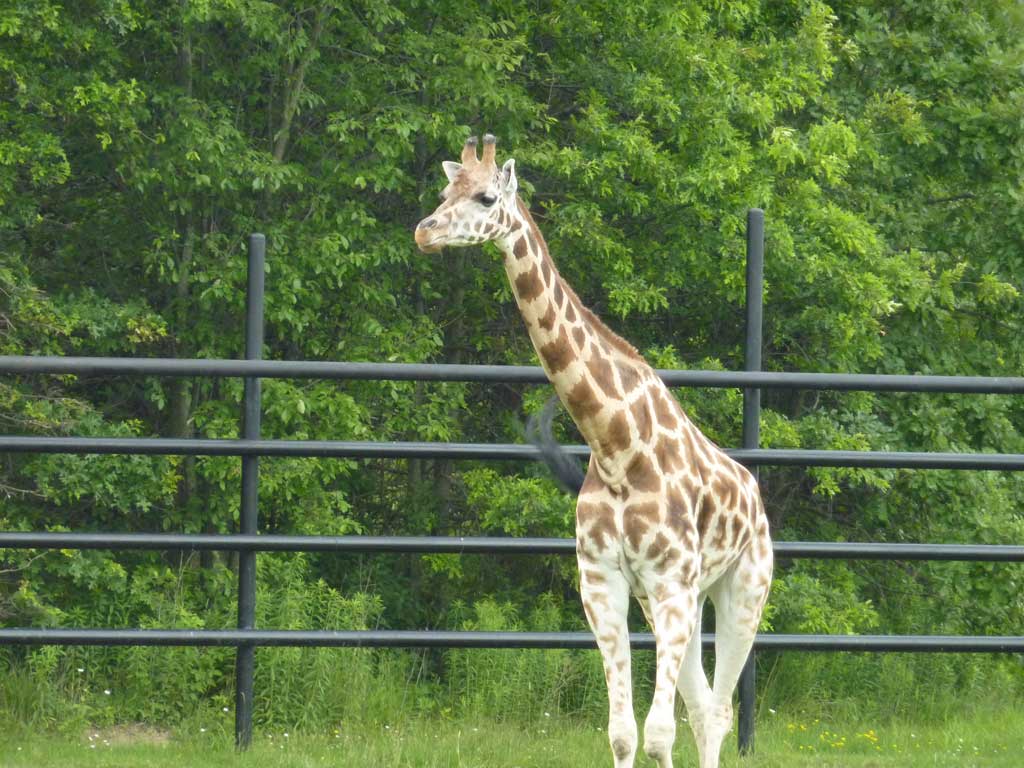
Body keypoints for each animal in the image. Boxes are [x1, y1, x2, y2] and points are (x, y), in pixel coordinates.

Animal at [411, 137, 770, 768]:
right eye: (444, 191)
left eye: (485, 198)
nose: (424, 231)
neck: (616, 448)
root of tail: (754, 494)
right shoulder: (603, 583)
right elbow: (625, 732)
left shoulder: (670, 581)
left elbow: (657, 733)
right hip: (681, 598)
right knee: (702, 706)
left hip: (742, 588)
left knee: (718, 711)